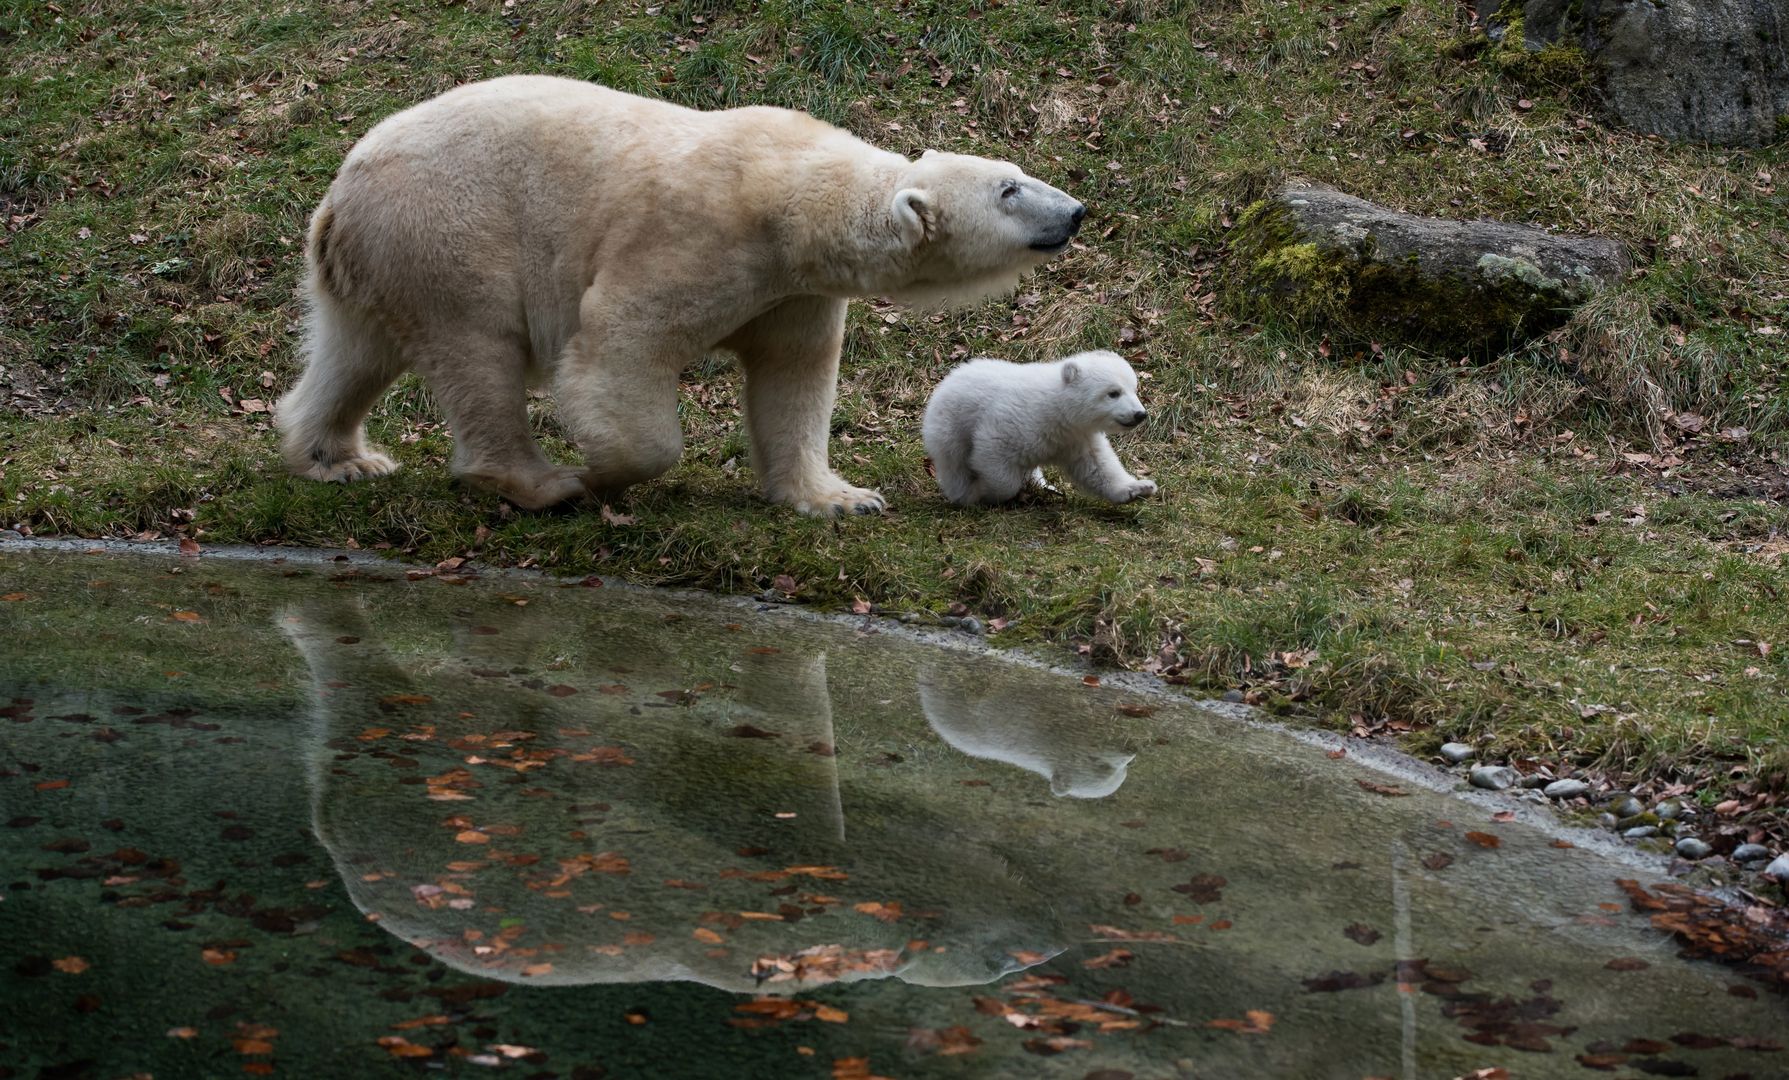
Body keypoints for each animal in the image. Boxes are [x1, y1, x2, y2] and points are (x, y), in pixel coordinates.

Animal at [277, 73, 1080, 518]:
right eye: (1008, 190)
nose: (1074, 212)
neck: (795, 196)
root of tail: (339, 196)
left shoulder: (792, 291)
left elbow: (794, 377)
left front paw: (839, 499)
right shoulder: (702, 238)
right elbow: (620, 345)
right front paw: (606, 471)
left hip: (383, 256)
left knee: (355, 352)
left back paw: (339, 456)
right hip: (449, 230)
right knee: (477, 350)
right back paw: (543, 483)